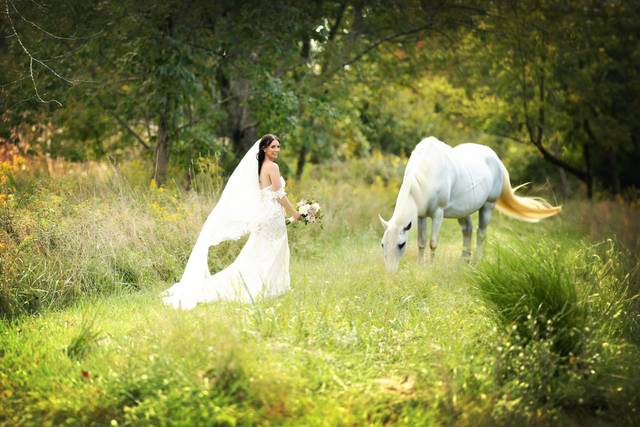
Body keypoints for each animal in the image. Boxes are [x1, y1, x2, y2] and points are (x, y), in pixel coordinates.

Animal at [379, 136, 561, 272]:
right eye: (382, 244)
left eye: (401, 244)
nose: (390, 272)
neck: (427, 171)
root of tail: (496, 158)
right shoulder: (421, 215)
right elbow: (421, 242)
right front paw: (420, 267)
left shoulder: (438, 213)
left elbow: (433, 242)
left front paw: (430, 267)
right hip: (463, 211)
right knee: (467, 230)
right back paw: (464, 262)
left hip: (488, 206)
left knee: (481, 233)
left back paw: (476, 262)